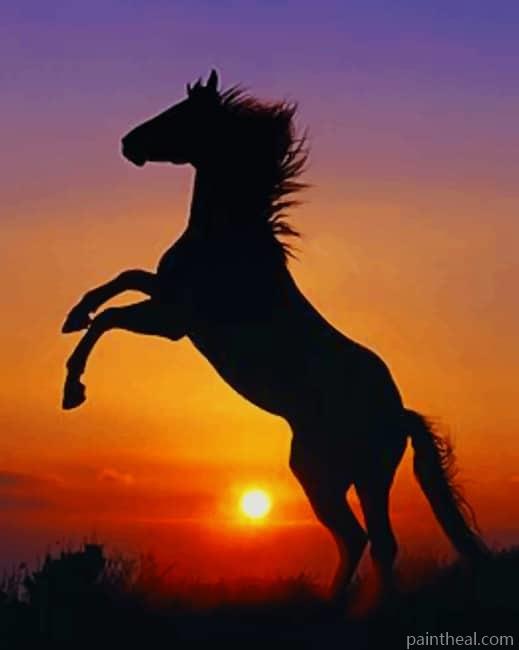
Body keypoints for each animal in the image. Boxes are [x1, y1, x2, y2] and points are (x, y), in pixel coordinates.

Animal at [62, 70, 488, 600]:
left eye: (181, 114)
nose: (128, 143)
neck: (230, 238)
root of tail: (399, 413)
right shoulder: (168, 297)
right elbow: (123, 279)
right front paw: (73, 315)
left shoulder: (176, 321)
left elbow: (111, 317)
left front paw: (73, 387)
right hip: (338, 474)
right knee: (365, 540)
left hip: (347, 474)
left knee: (369, 540)